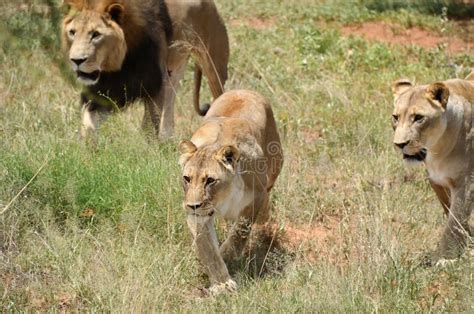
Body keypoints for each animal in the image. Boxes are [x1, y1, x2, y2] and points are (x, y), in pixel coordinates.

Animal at [61, 0, 230, 137]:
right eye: (72, 32)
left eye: (96, 34)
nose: (76, 60)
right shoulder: (101, 91)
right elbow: (88, 127)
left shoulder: (155, 85)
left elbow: (149, 126)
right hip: (173, 72)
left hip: (214, 65)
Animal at [177, 89, 282, 294]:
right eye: (187, 178)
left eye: (210, 180)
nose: (193, 205)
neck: (223, 197)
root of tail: (243, 90)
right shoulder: (197, 215)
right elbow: (208, 250)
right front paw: (222, 284)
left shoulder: (257, 196)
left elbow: (241, 230)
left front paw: (226, 254)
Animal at [392, 72, 474, 264]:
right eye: (396, 117)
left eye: (418, 118)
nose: (399, 144)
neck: (437, 150)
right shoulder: (436, 180)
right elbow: (450, 212)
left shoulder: (466, 184)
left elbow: (454, 221)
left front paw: (445, 257)